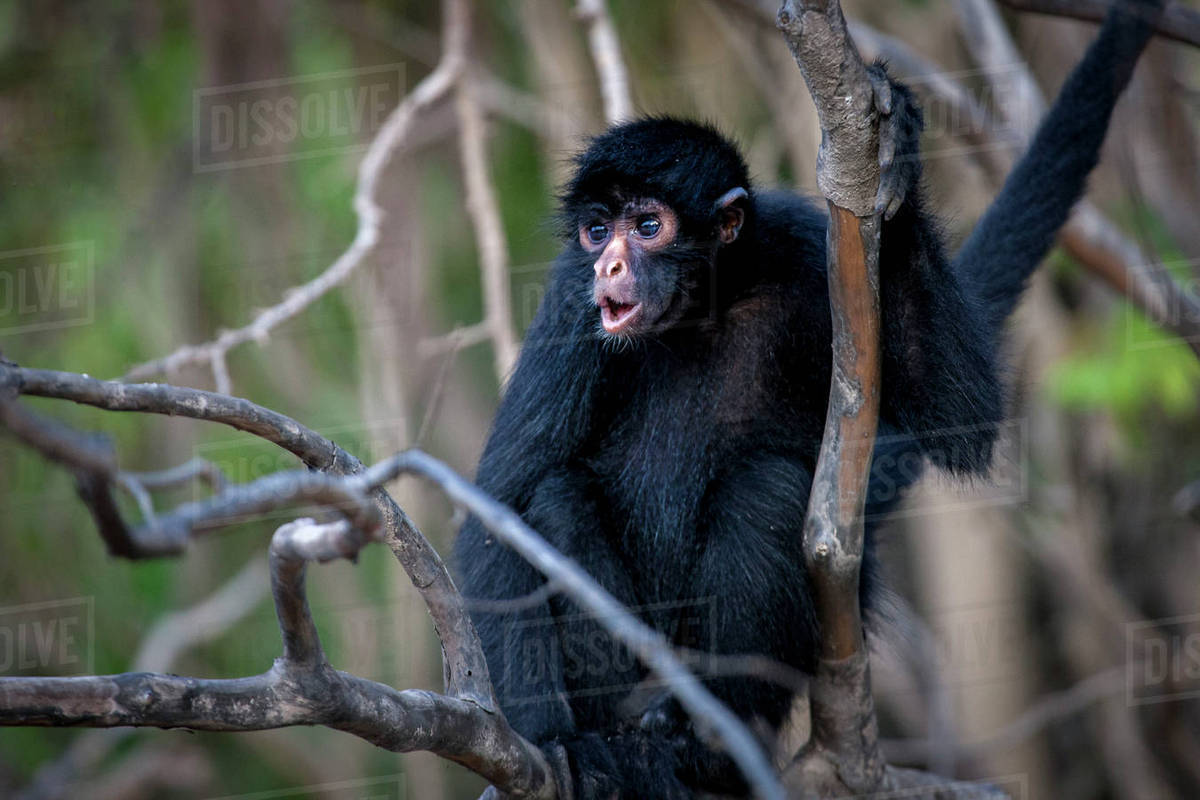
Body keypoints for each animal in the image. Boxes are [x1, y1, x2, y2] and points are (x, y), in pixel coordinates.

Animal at [455, 0, 1165, 796]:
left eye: (649, 226)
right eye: (597, 229)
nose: (608, 263)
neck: (705, 309)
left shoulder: (801, 246)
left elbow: (963, 424)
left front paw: (893, 160)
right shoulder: (569, 301)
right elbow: (500, 504)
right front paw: (554, 741)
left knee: (762, 488)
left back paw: (706, 742)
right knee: (556, 495)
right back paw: (623, 737)